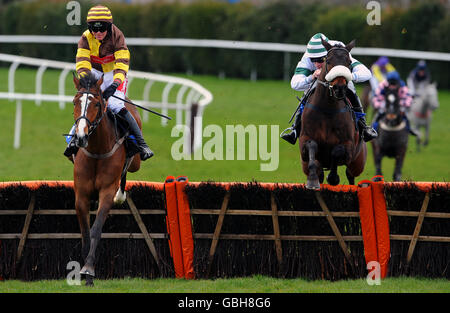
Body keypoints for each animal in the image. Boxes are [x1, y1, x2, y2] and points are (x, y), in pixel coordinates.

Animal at [72, 73, 141, 286]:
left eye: (96, 104)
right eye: (75, 102)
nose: (81, 136)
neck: (96, 150)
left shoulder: (106, 192)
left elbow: (96, 230)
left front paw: (89, 270)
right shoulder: (81, 195)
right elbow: (85, 232)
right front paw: (81, 272)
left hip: (136, 163)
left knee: (128, 170)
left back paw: (121, 194)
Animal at [298, 39, 368, 190]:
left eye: (349, 62)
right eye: (328, 60)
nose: (339, 87)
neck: (327, 109)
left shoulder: (349, 148)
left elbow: (337, 151)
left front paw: (333, 177)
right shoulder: (304, 143)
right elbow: (312, 146)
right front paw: (312, 181)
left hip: (358, 162)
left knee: (350, 174)